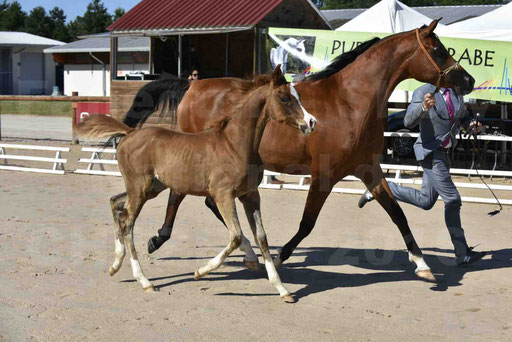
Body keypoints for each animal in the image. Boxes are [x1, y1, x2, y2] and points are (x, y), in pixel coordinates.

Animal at [77, 66, 316, 302]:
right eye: (285, 98)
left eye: (299, 96)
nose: (311, 123)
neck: (234, 144)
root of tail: (129, 133)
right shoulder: (223, 195)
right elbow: (236, 236)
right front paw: (201, 271)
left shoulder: (250, 195)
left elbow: (262, 237)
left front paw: (282, 289)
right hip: (139, 188)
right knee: (127, 222)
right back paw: (144, 281)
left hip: (150, 188)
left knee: (116, 204)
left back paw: (115, 265)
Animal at [123, 22, 472, 284]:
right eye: (438, 49)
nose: (467, 80)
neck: (349, 101)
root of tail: (193, 86)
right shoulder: (324, 174)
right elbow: (307, 223)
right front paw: (278, 258)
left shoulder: (368, 169)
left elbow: (397, 214)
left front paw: (422, 264)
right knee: (180, 196)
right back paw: (167, 240)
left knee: (202, 200)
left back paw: (243, 253)